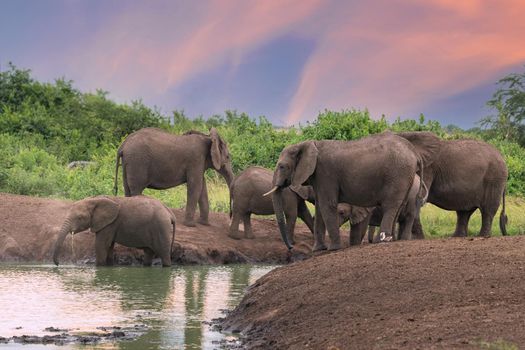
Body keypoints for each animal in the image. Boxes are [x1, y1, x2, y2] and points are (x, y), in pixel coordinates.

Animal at [266, 132, 422, 252]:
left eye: (282, 166)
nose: (291, 247)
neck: (308, 144)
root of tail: (414, 153)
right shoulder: (318, 177)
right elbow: (319, 207)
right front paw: (318, 249)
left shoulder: (325, 173)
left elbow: (326, 204)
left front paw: (333, 249)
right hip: (405, 178)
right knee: (398, 207)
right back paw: (390, 240)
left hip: (398, 174)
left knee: (390, 205)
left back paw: (381, 240)